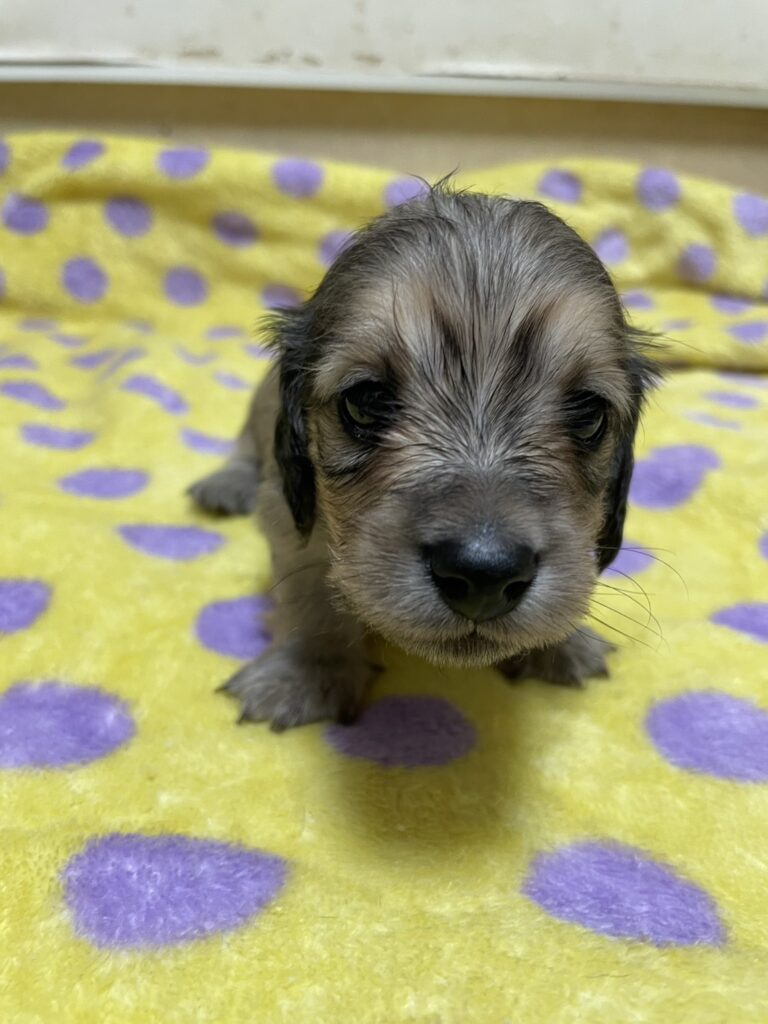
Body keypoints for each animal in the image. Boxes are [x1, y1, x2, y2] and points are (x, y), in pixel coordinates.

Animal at [189, 184, 658, 731]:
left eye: (587, 414)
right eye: (366, 401)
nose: (484, 577)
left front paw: (559, 646)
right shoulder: (289, 515)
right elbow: (310, 594)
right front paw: (306, 674)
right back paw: (225, 484)